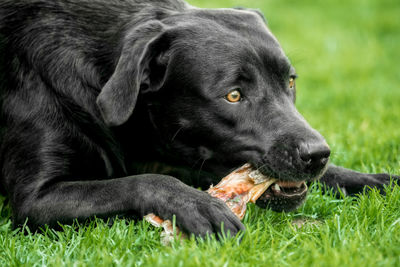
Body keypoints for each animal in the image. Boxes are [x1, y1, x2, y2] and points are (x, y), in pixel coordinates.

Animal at [0, 0, 398, 239]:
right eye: (233, 96)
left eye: (290, 81)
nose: (317, 154)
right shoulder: (37, 201)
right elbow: (140, 181)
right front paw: (198, 205)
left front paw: (373, 180)